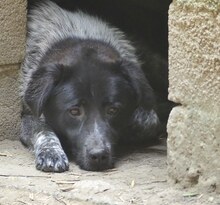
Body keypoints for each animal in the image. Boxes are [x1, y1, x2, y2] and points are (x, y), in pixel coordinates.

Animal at [20, 0, 160, 172]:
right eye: (74, 111)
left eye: (113, 110)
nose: (99, 156)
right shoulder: (27, 115)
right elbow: (43, 129)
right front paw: (51, 152)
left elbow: (148, 121)